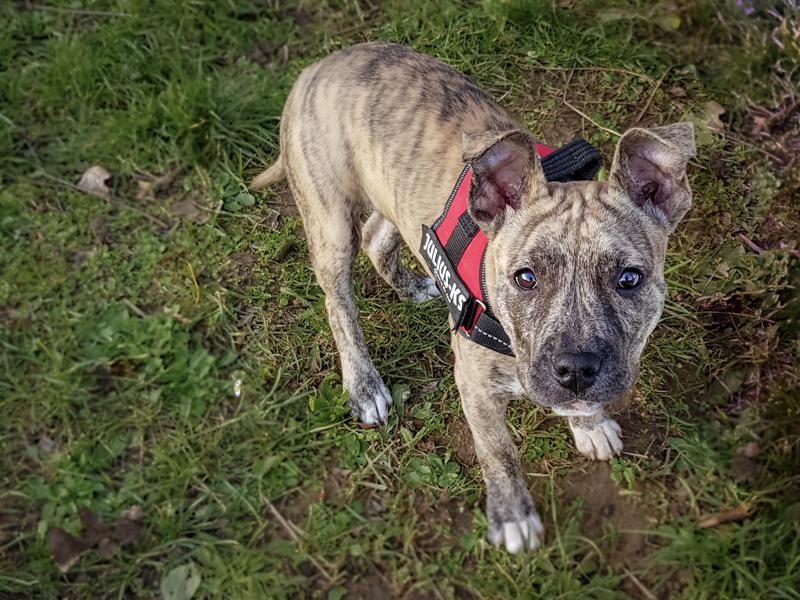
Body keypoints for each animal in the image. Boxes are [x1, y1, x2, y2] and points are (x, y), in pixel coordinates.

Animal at [250, 44, 692, 556]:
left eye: (629, 279)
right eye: (525, 278)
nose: (577, 370)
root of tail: (322, 64)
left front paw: (589, 424)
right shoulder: (475, 386)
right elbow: (497, 451)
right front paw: (513, 516)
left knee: (378, 234)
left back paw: (412, 286)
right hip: (329, 221)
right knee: (339, 303)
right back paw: (363, 384)